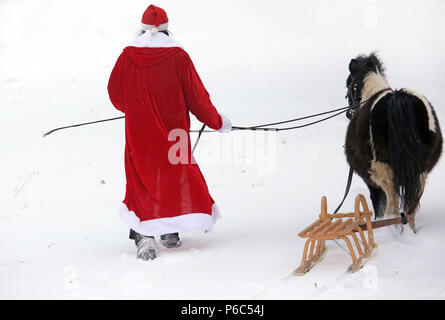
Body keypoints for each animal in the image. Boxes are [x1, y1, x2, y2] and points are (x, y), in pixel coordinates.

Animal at [344, 53, 440, 231]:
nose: (348, 113)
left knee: (393, 209)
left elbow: (379, 205)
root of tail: (400, 101)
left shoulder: (373, 182)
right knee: (410, 210)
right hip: (420, 171)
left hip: (384, 172)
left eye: (349, 85)